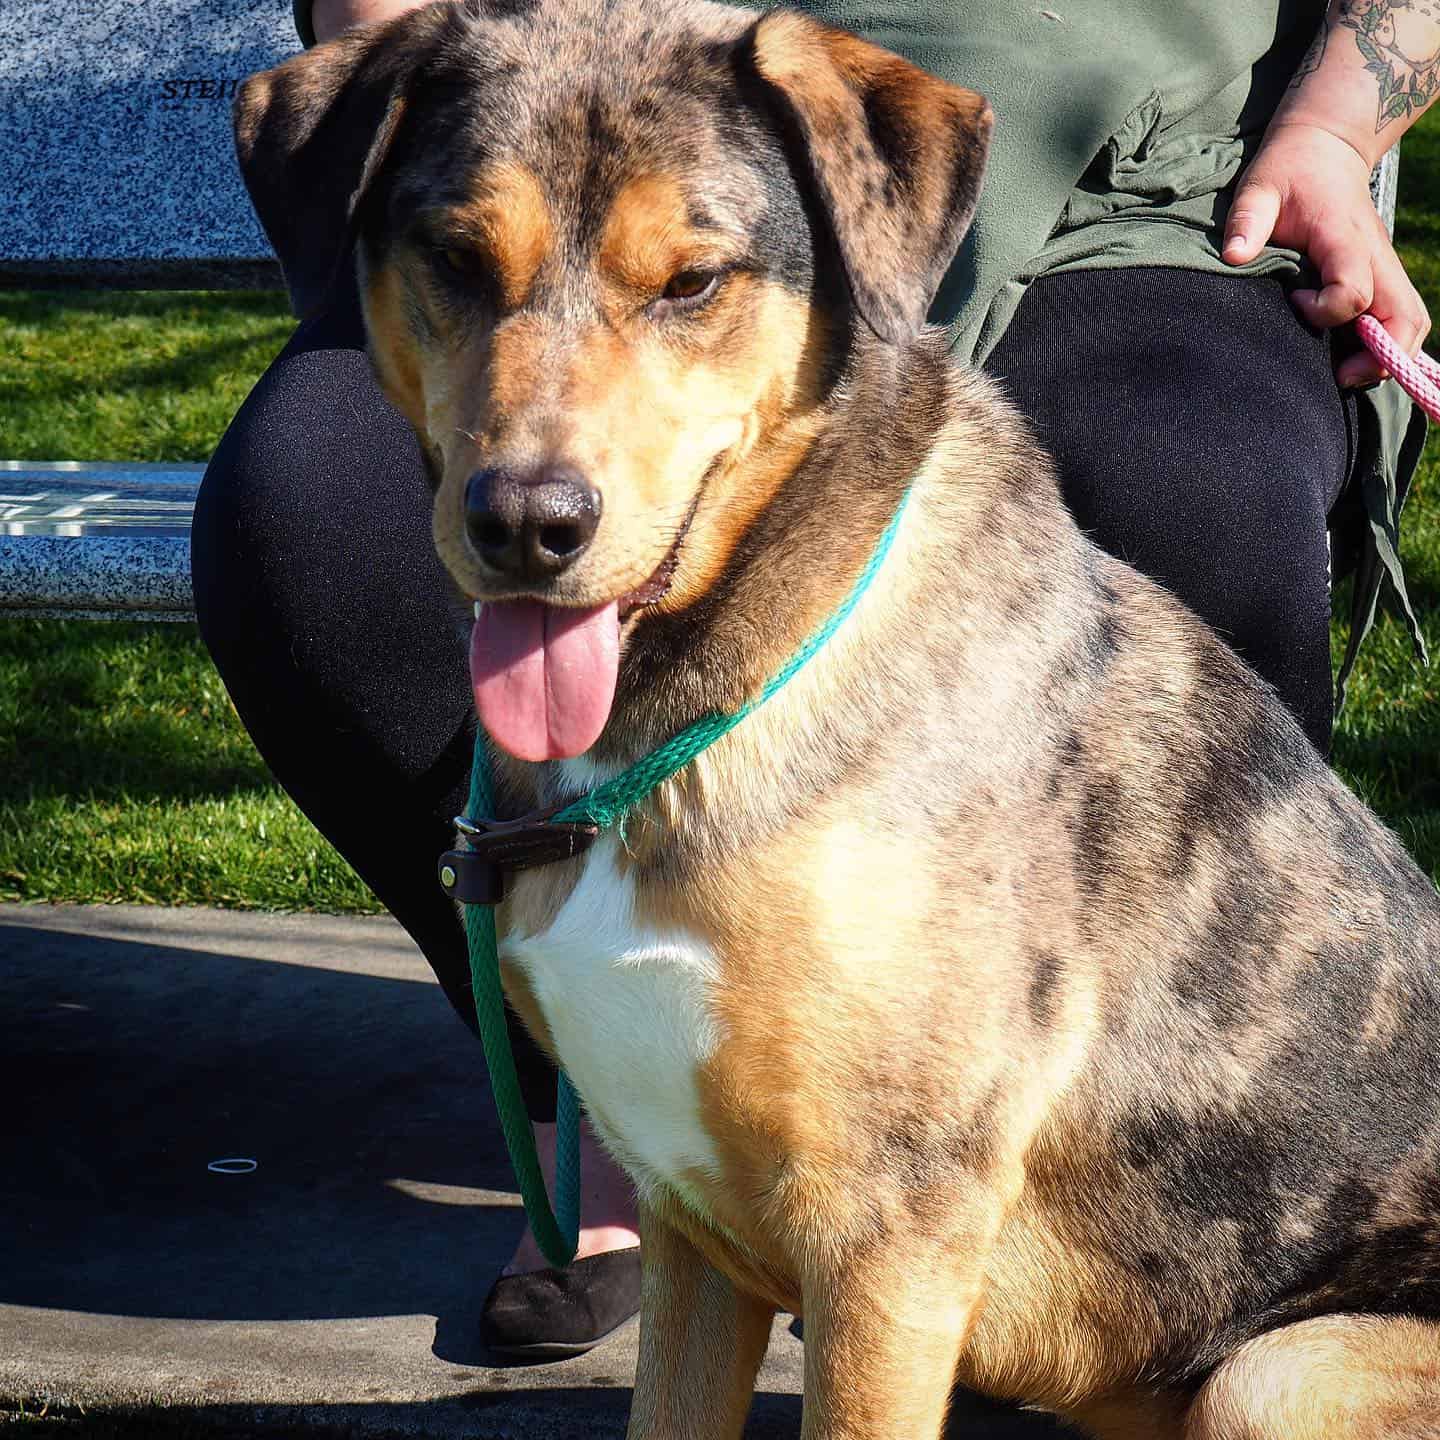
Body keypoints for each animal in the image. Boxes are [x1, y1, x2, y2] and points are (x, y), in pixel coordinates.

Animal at [241, 5, 1440, 1434]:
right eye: (457, 260)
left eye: (693, 282)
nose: (528, 525)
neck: (689, 709)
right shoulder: (693, 1231)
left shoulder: (886, 1233)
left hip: (1279, 1372)